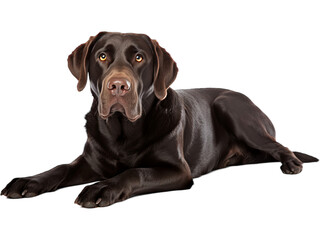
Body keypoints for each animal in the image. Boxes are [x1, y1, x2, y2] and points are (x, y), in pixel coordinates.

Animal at [1, 32, 318, 208]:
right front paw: (29, 181)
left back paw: (292, 164)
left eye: (139, 58)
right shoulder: (91, 161)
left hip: (231, 106)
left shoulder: (178, 170)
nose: (118, 86)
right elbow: (61, 168)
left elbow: (135, 172)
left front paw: (102, 187)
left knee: (280, 146)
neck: (122, 132)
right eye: (102, 56)